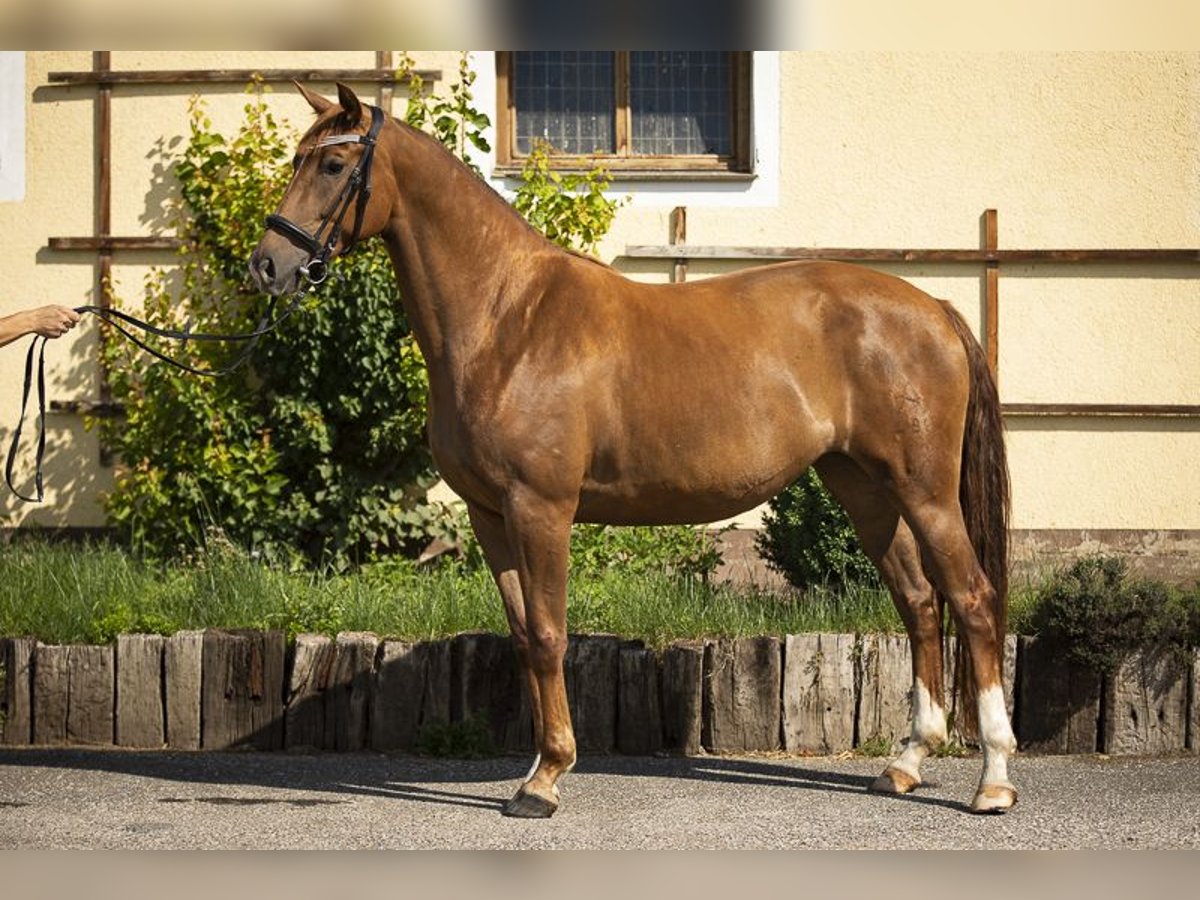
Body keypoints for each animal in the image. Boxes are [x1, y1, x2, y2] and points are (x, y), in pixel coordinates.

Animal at [248, 82, 1017, 816]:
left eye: (334, 165)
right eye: (297, 159)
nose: (268, 266)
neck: (507, 318)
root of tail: (935, 309)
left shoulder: (542, 509)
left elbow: (551, 633)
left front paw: (546, 779)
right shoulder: (490, 516)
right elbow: (524, 636)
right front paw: (538, 768)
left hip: (925, 491)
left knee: (972, 599)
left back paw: (994, 781)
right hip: (863, 487)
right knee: (918, 602)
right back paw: (906, 764)